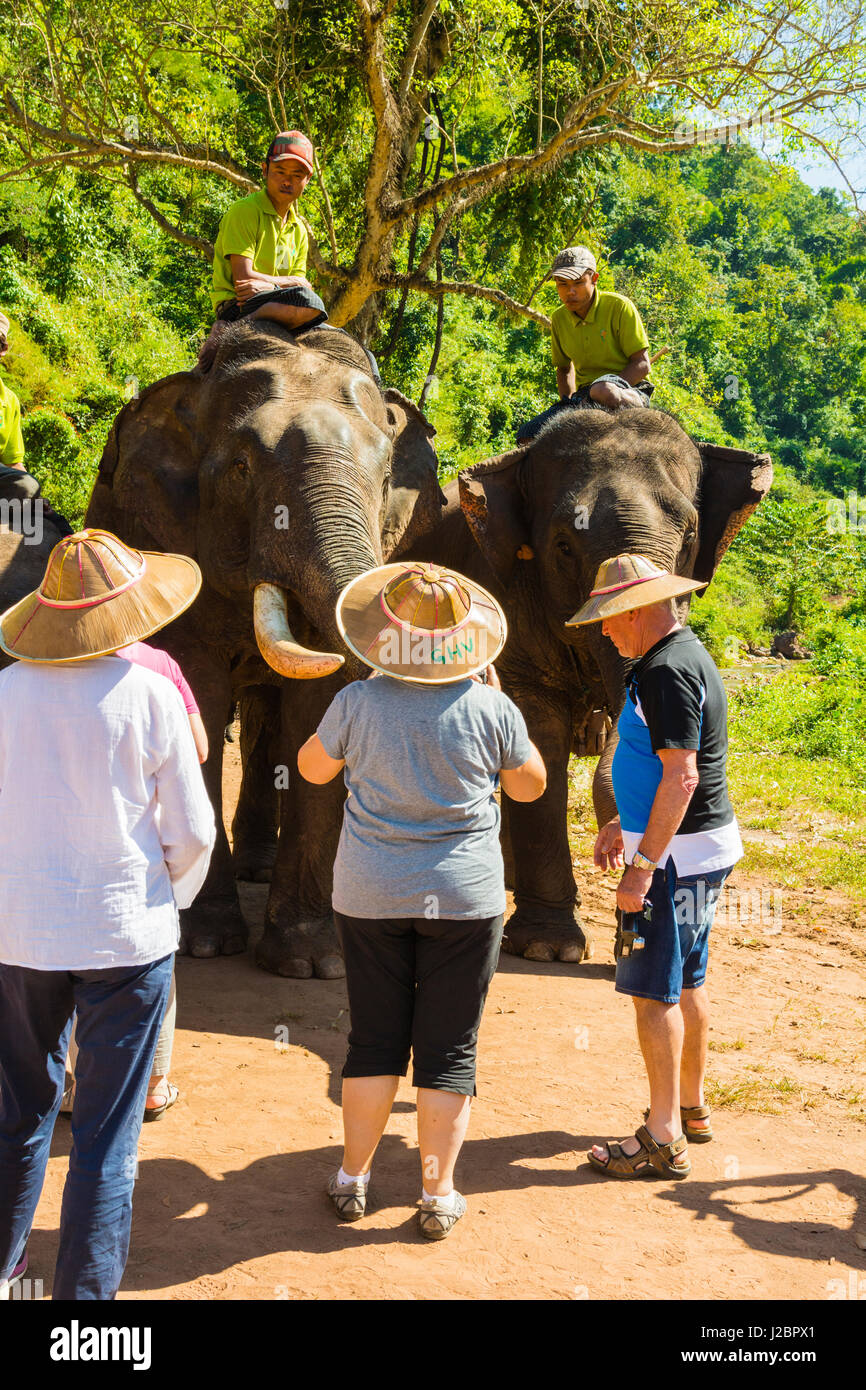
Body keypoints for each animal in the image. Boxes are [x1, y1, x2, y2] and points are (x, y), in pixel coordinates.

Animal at [83, 321, 444, 978]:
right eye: (242, 469)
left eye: (384, 481)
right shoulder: (175, 537)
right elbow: (199, 691)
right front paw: (205, 944)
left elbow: (315, 706)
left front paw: (309, 964)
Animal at [403, 405, 778, 961]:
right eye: (563, 545)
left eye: (689, 539)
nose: (626, 937)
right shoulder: (507, 597)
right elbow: (537, 736)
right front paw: (547, 949)